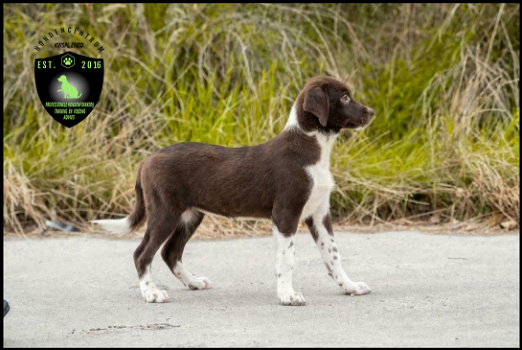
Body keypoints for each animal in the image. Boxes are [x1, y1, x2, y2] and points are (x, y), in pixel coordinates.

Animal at [90, 75, 374, 304]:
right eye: (345, 97)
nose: (371, 112)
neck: (312, 146)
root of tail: (146, 160)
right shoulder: (286, 213)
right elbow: (287, 259)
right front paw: (287, 296)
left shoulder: (319, 214)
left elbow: (333, 255)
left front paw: (349, 286)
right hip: (164, 211)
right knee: (142, 254)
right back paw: (151, 293)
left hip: (190, 214)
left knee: (170, 252)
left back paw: (193, 282)